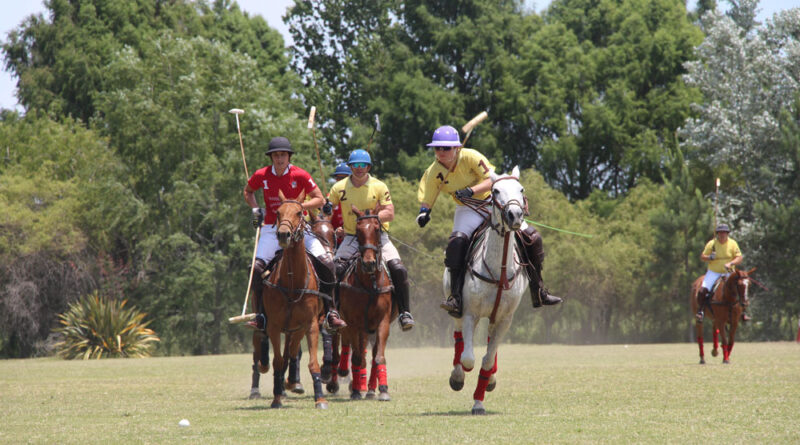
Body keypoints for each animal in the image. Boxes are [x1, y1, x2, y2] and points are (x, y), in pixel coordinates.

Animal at [260, 189, 326, 408]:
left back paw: (292, 383)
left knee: (293, 350)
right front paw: (277, 397)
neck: (291, 282)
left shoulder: (310, 324)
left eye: (299, 212)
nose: (283, 235)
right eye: (278, 212)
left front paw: (320, 398)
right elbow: (278, 360)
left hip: (298, 329)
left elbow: (313, 362)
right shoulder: (274, 325)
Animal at [336, 206, 396, 400]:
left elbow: (379, 357)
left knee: (373, 353)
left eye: (377, 229)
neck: (370, 284)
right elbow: (357, 357)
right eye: (358, 231)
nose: (369, 263)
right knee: (355, 352)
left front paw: (383, 389)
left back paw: (370, 388)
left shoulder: (383, 321)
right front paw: (355, 389)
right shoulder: (354, 323)